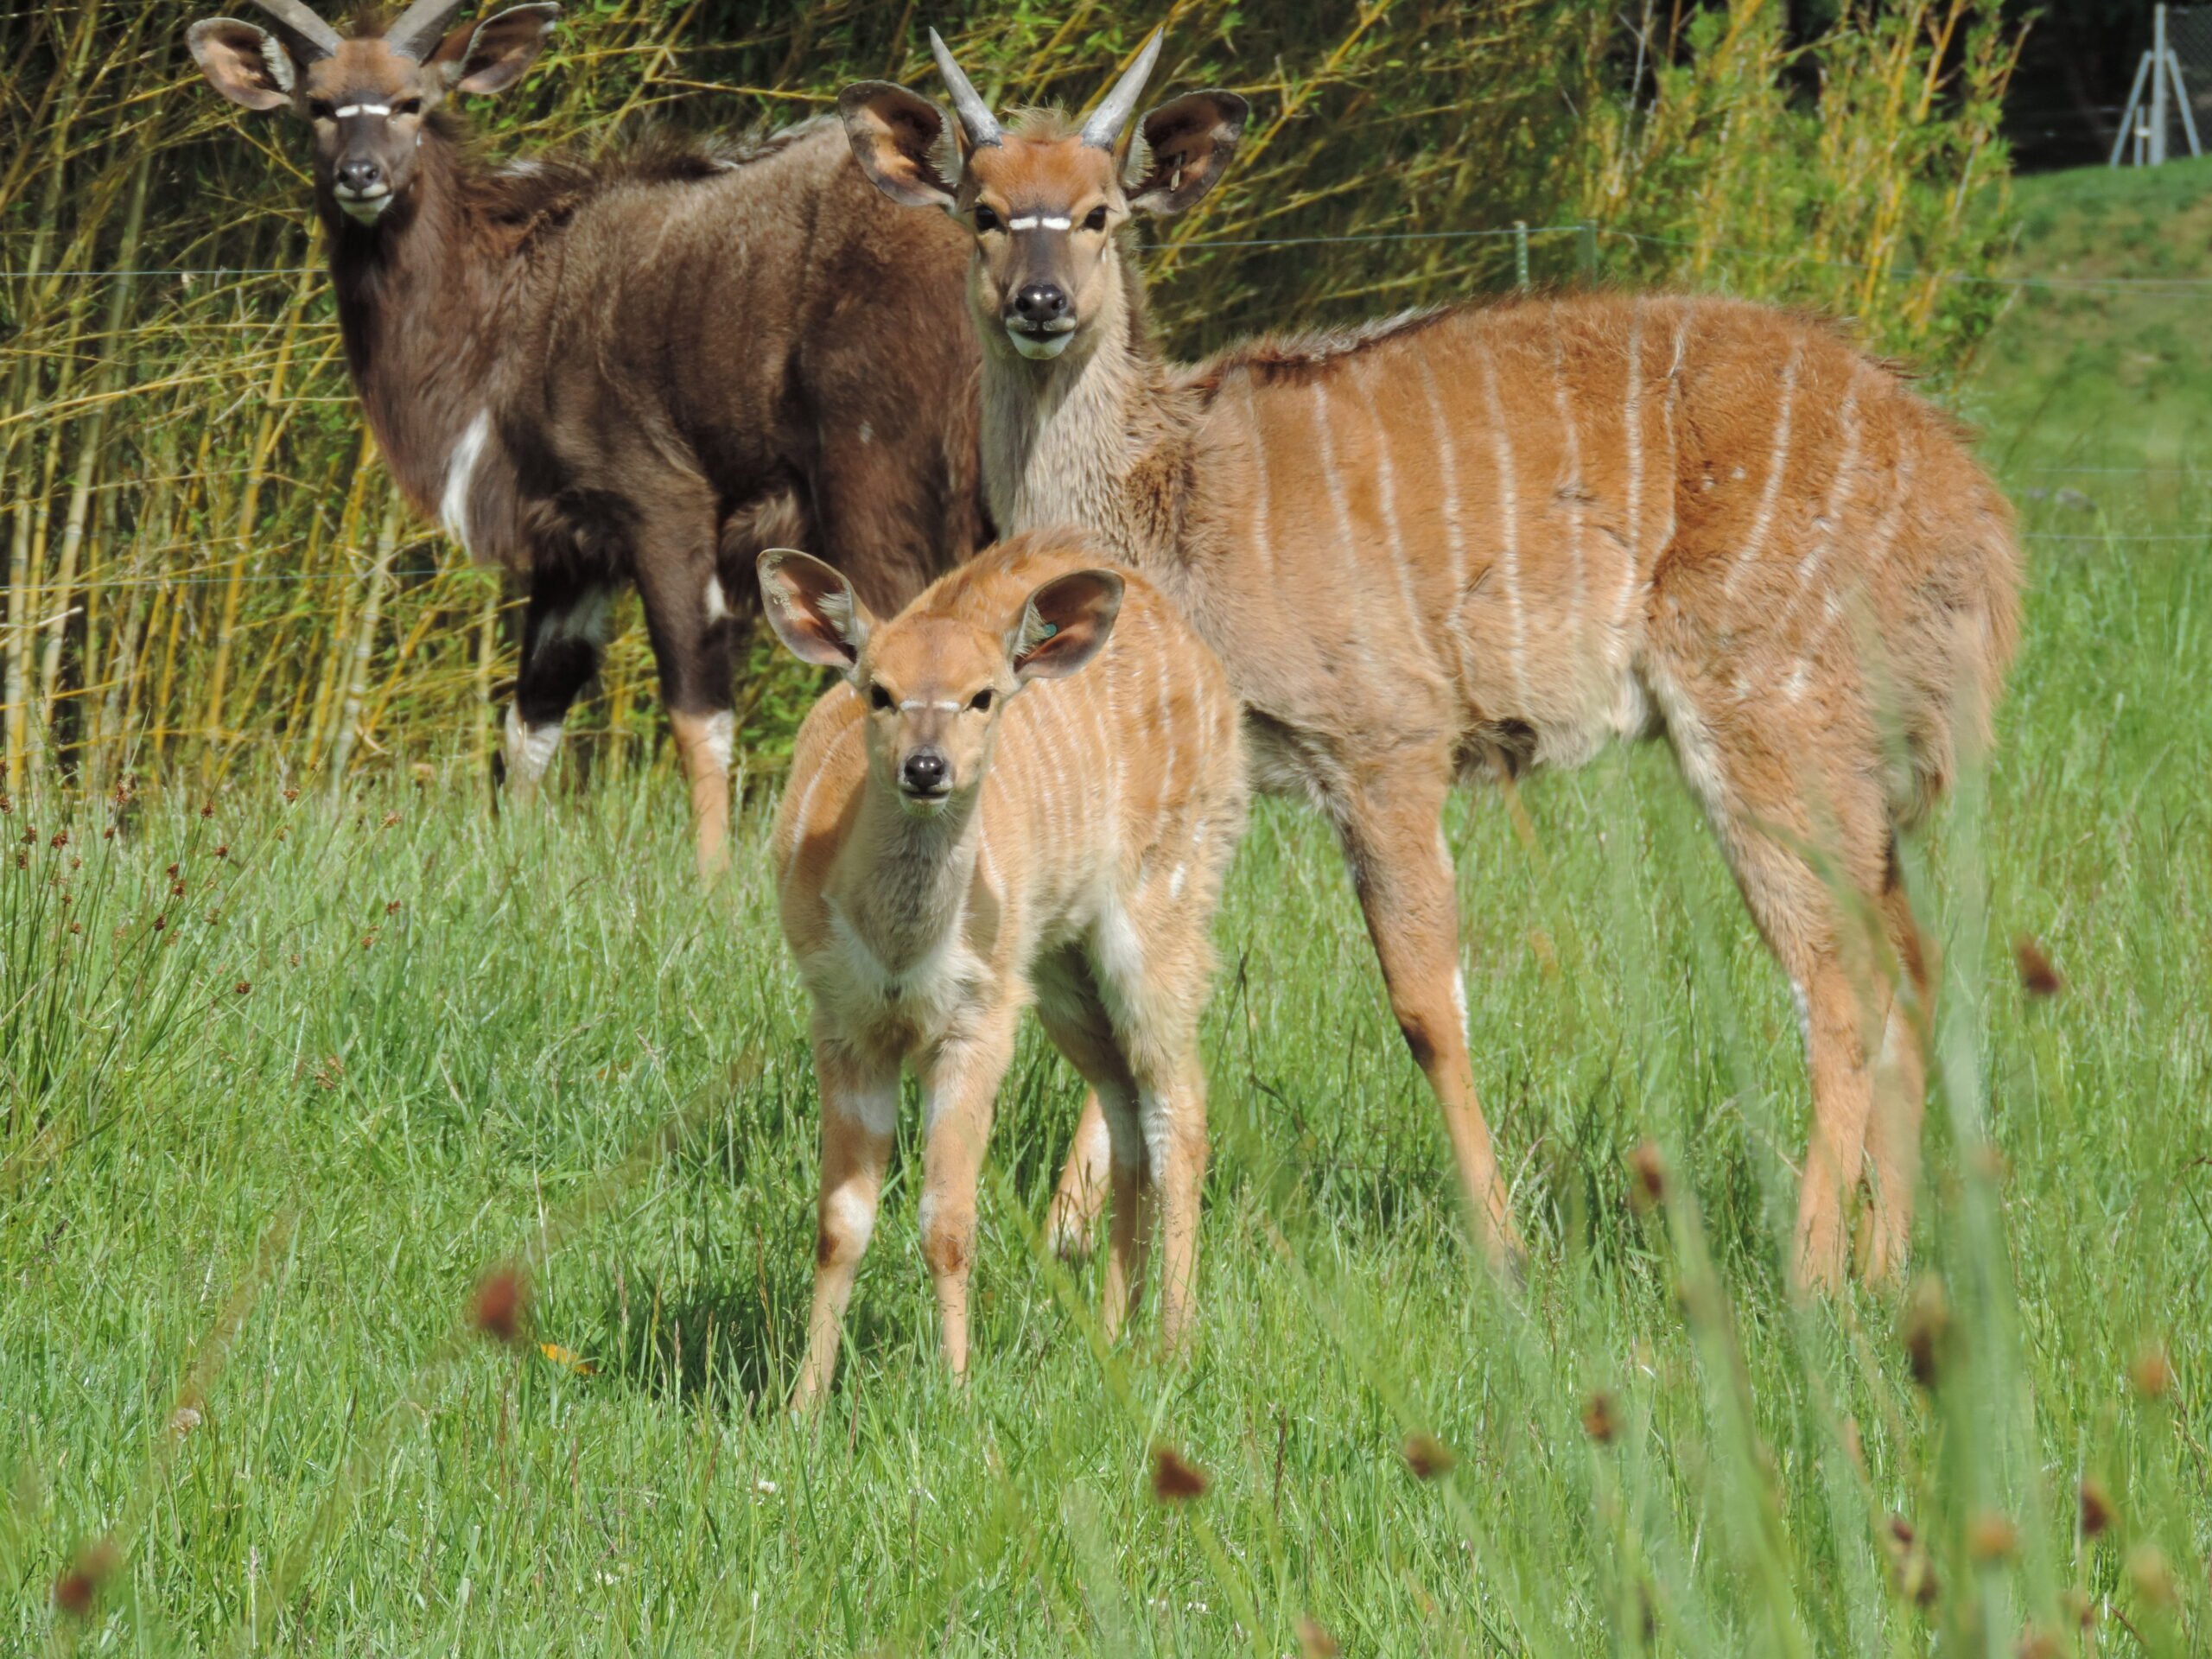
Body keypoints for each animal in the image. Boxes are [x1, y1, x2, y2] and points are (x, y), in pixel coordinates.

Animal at [190, 0, 986, 875]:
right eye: (319, 106)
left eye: (411, 103)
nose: (360, 178)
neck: (511, 311)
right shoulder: (574, 548)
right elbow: (531, 720)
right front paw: (503, 861)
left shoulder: (662, 506)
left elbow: (697, 712)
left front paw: (712, 880)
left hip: (874, 490)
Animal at [760, 526, 1247, 1407]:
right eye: (879, 691)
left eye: (982, 696)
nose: (926, 768)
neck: (899, 949)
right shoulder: (843, 1021)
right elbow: (839, 1225)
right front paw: (804, 1405)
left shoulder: (976, 1022)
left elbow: (948, 1223)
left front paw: (956, 1393)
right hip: (1059, 972)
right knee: (1126, 1105)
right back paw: (1111, 1335)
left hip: (1166, 908)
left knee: (1179, 1107)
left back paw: (1174, 1347)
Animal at [840, 32, 2025, 1292]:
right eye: (982, 211)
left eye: (1100, 213)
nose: (1042, 304)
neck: (1172, 511)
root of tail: (1975, 521)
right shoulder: (1224, 780)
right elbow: (1145, 982)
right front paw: (1070, 1232)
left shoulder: (1386, 747)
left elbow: (1426, 1005)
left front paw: (1503, 1249)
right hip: (1849, 771)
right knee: (1913, 965)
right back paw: (1888, 1267)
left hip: (1768, 724)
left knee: (1840, 984)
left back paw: (1810, 1273)